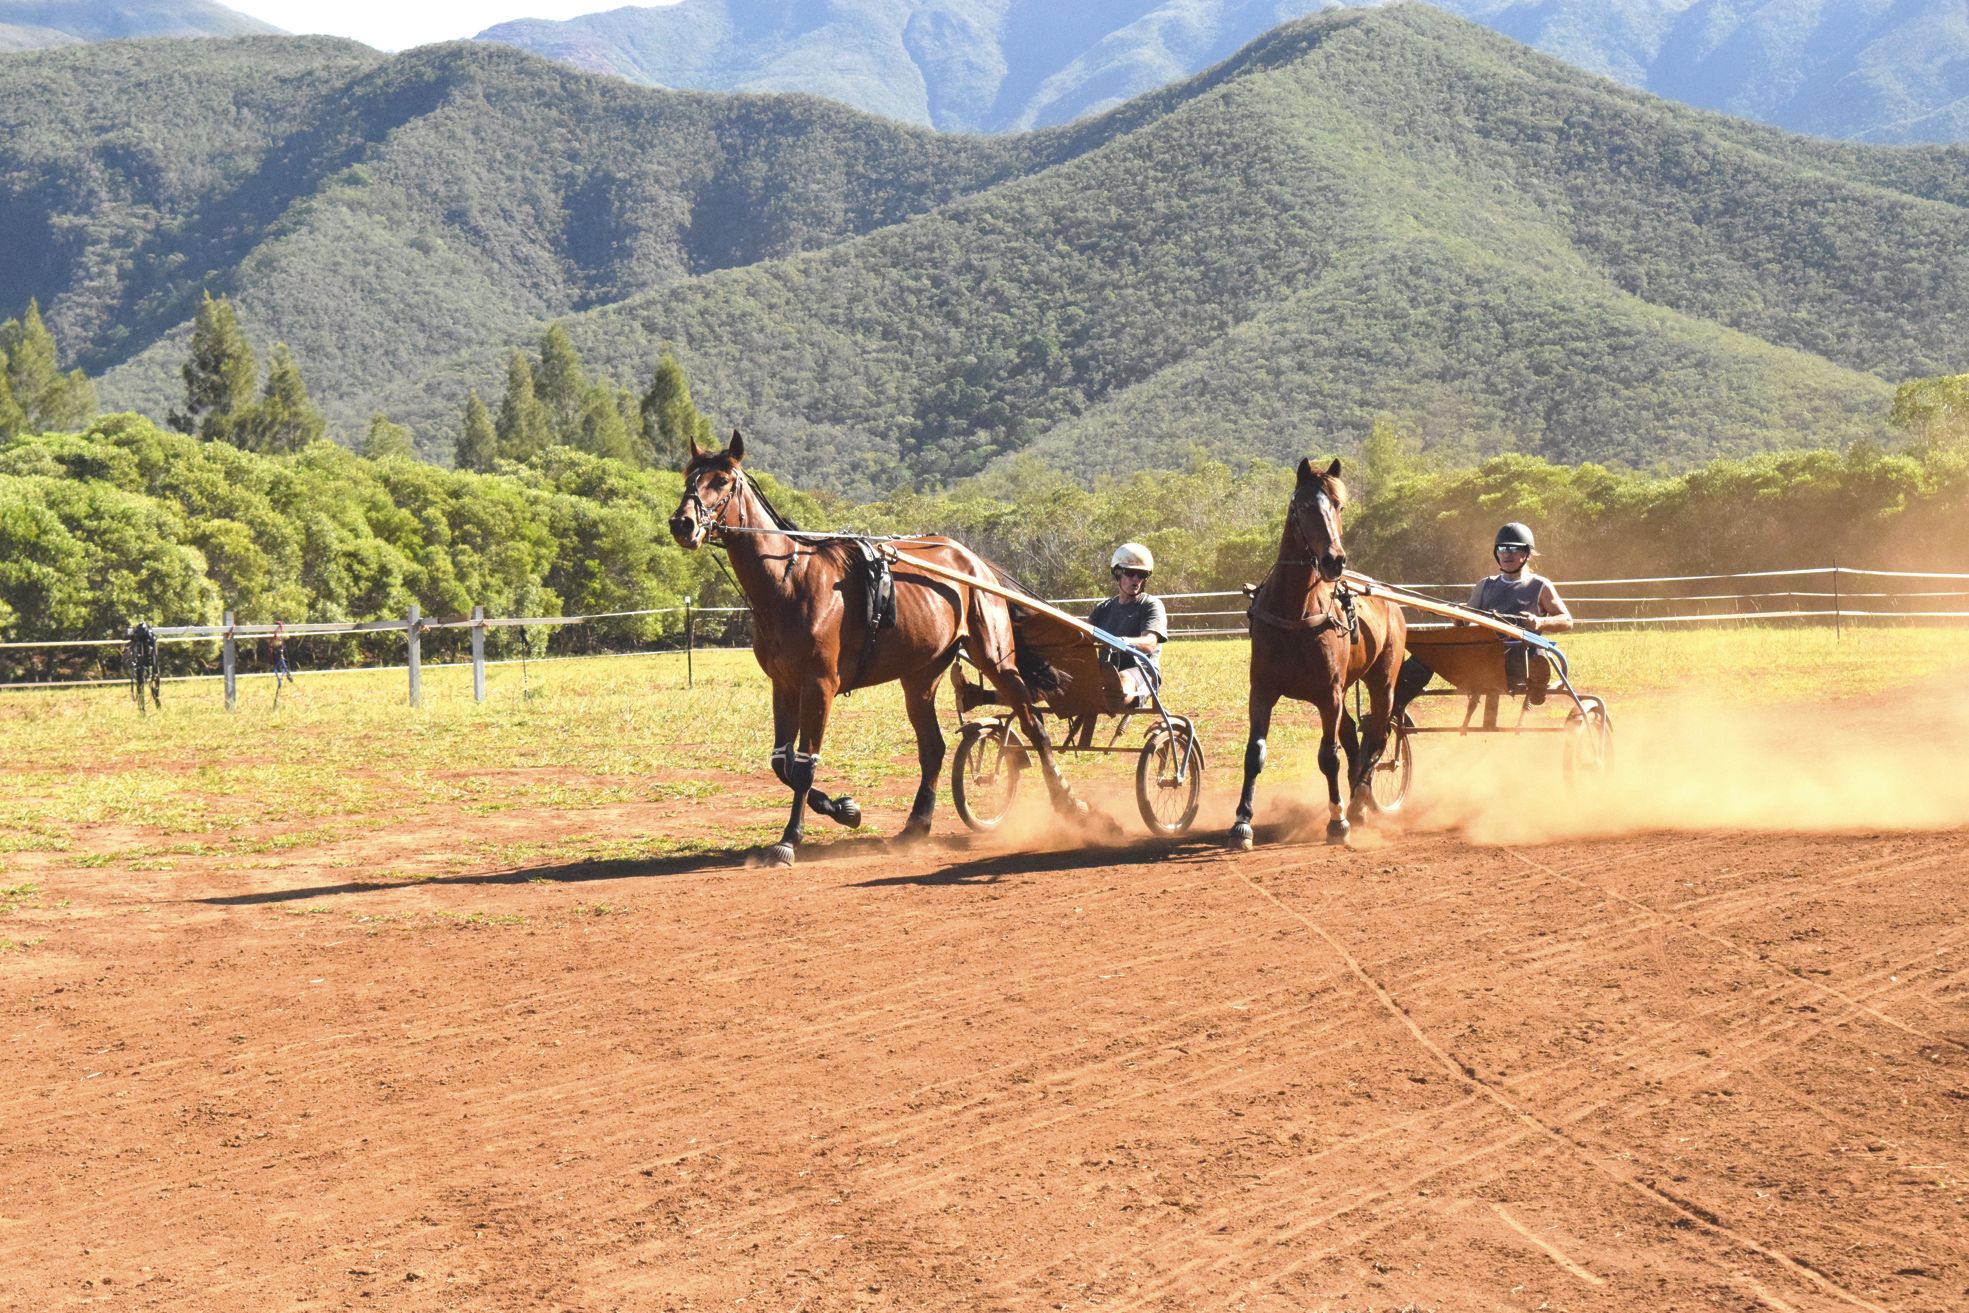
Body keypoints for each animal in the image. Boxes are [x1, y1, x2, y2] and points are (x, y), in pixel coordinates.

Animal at [668, 431, 1082, 866]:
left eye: (722, 480)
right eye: (688, 477)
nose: (682, 523)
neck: (790, 581)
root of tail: (973, 560)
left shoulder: (819, 685)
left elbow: (804, 766)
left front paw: (790, 839)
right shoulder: (784, 685)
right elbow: (782, 763)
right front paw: (844, 809)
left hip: (997, 660)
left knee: (1034, 728)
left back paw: (1069, 803)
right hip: (921, 676)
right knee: (933, 748)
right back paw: (916, 825)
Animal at [1230, 457, 1406, 849]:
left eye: (1338, 505)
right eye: (1305, 506)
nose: (1334, 560)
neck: (1296, 611)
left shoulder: (1329, 695)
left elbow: (1329, 757)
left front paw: (1337, 820)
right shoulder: (1261, 690)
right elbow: (1254, 753)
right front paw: (1242, 822)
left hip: (1382, 682)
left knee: (1378, 736)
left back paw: (1357, 802)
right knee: (1354, 735)